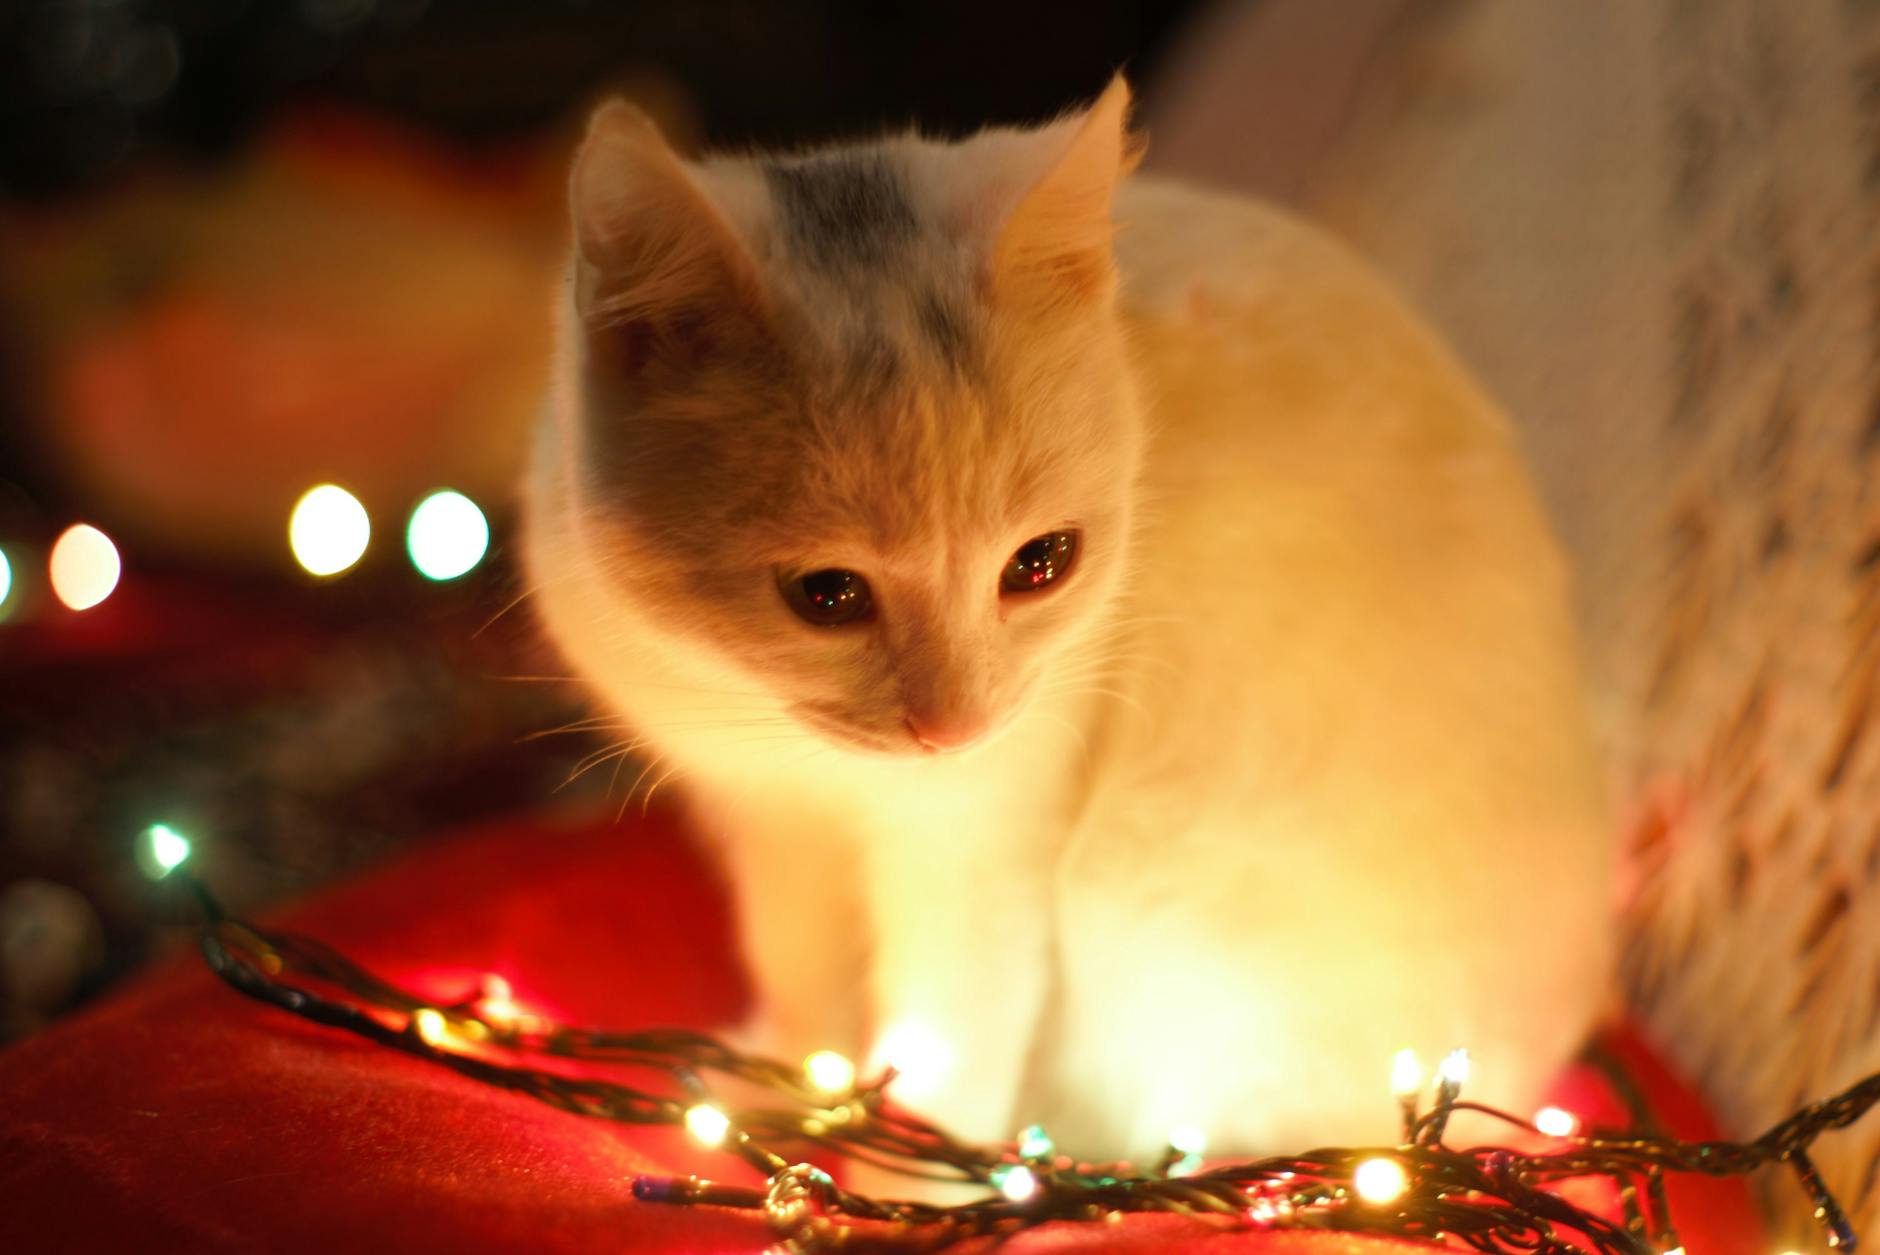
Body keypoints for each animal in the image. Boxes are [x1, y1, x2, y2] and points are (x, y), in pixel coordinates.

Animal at [522, 80, 1609, 1164]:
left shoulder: (984, 843)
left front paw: (916, 1168)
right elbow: (799, 970)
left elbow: (948, 1046)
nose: (952, 726)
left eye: (1040, 563)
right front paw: (783, 1077)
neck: (806, 761)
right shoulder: (771, 827)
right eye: (824, 593)